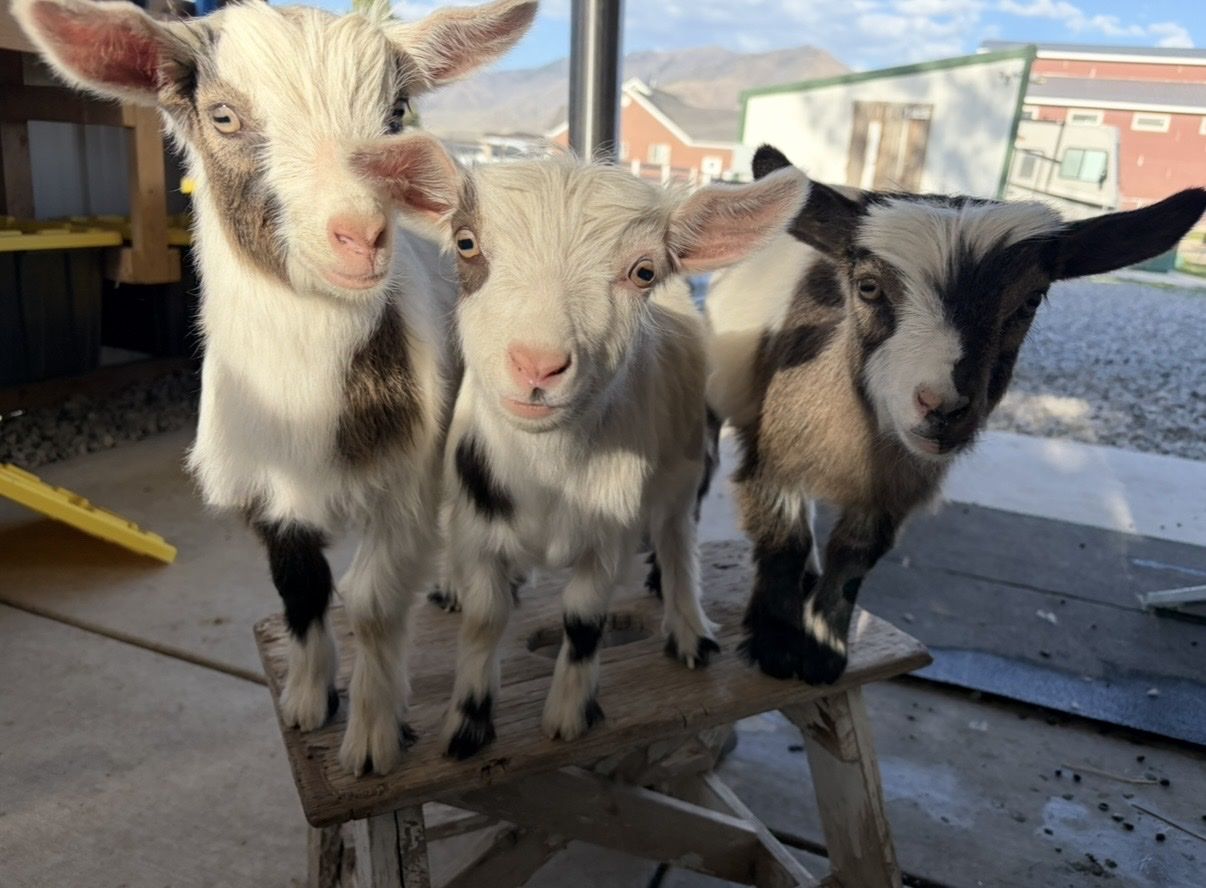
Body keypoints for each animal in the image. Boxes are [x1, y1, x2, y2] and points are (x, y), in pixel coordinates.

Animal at [16, 0, 537, 775]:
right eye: (224, 116)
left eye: (396, 112)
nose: (361, 234)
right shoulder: (265, 492)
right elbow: (301, 588)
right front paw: (308, 699)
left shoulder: (404, 480)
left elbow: (372, 603)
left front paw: (373, 739)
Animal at [351, 134, 807, 755]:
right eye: (466, 244)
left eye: (643, 271)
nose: (537, 365)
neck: (549, 473)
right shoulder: (479, 521)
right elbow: (485, 618)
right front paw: (469, 723)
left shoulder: (609, 537)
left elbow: (585, 619)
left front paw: (568, 715)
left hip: (685, 462)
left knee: (676, 537)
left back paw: (690, 631)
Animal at [706, 144, 1206, 685]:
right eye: (867, 287)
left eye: (1030, 300)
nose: (941, 406)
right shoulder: (776, 452)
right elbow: (785, 539)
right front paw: (776, 645)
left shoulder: (894, 491)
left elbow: (855, 558)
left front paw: (823, 649)